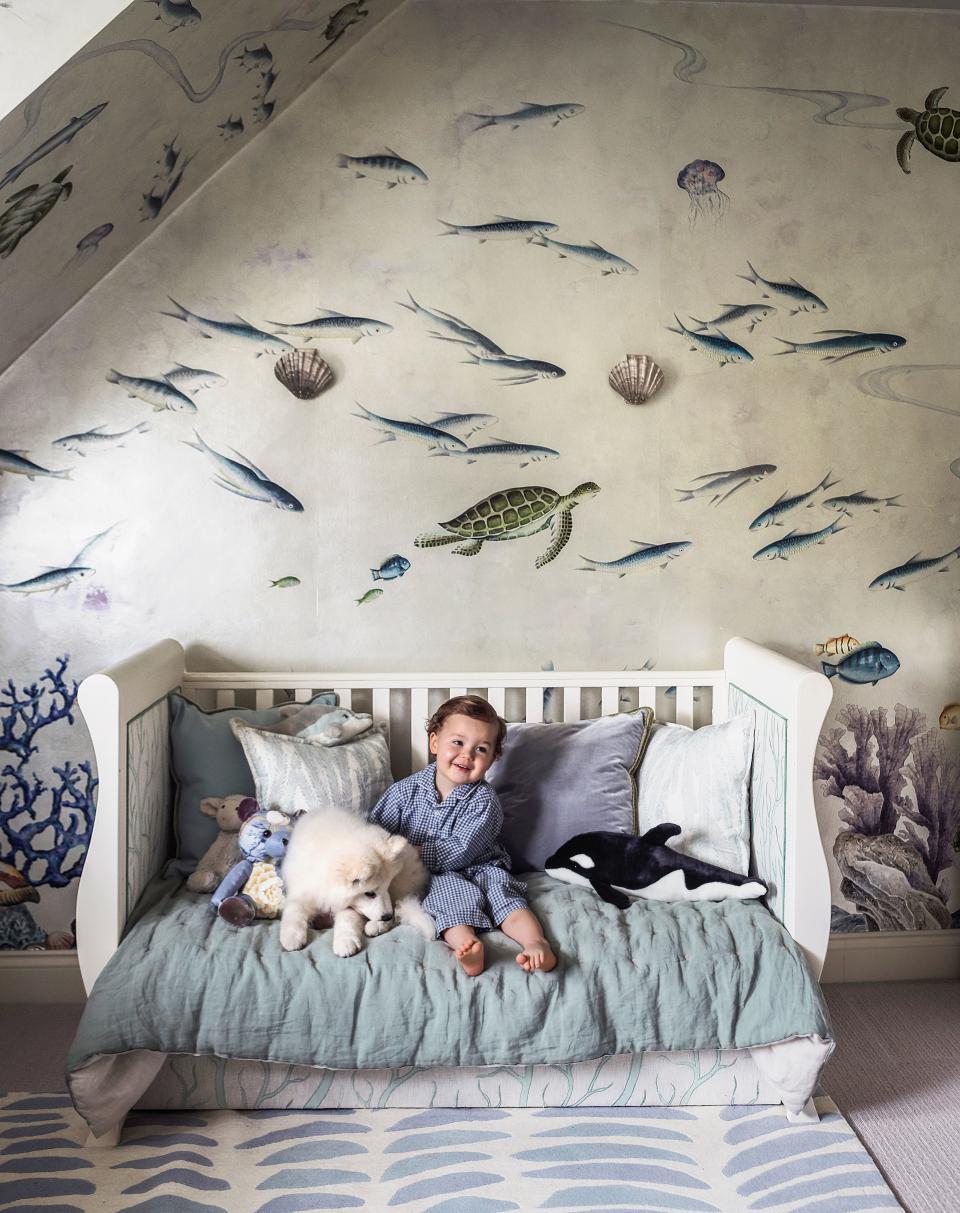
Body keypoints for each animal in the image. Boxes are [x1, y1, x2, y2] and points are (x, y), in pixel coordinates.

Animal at [279, 805, 434, 955]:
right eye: (369, 893)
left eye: (387, 887)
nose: (386, 916)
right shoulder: (302, 887)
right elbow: (294, 910)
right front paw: (292, 937)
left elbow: (347, 919)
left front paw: (345, 942)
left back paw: (376, 926)